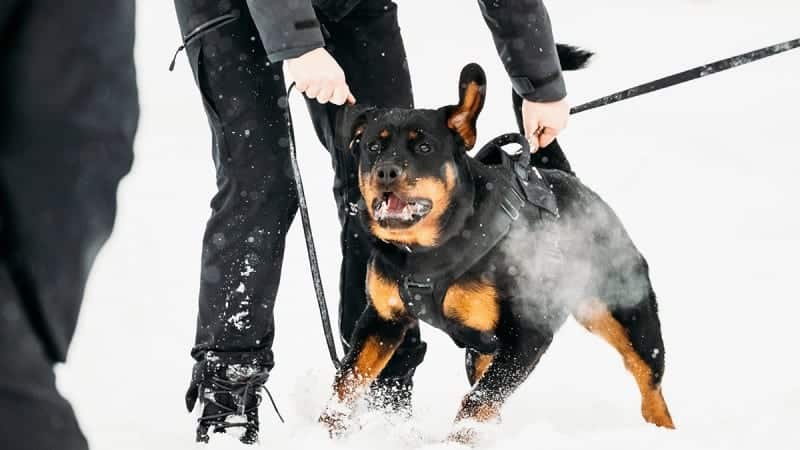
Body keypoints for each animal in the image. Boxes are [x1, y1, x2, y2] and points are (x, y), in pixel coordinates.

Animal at [318, 57, 676, 440]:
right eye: (373, 147)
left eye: (424, 148)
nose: (386, 172)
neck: (426, 253)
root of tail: (576, 185)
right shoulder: (382, 319)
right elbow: (347, 380)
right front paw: (325, 429)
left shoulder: (528, 334)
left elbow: (478, 402)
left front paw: (456, 443)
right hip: (481, 351)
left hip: (627, 310)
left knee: (650, 383)